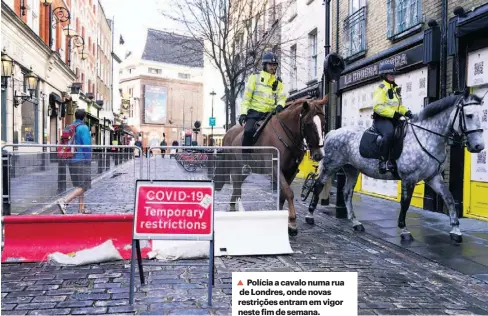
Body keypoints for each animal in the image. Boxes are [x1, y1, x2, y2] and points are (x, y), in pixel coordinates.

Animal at [214, 96, 326, 235]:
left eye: (323, 123)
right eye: (309, 124)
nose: (318, 155)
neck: (285, 135)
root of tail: (228, 133)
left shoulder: (291, 171)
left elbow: (283, 194)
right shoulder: (275, 168)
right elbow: (289, 193)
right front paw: (292, 222)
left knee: (237, 186)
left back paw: (233, 206)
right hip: (235, 165)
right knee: (237, 186)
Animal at [304, 90, 484, 243]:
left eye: (482, 115)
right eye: (469, 115)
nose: (479, 146)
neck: (426, 136)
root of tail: (333, 132)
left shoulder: (433, 177)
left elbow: (449, 198)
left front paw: (456, 231)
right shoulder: (409, 178)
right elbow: (405, 203)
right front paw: (404, 230)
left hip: (351, 169)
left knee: (347, 193)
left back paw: (356, 223)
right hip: (331, 166)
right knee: (318, 186)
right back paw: (310, 216)